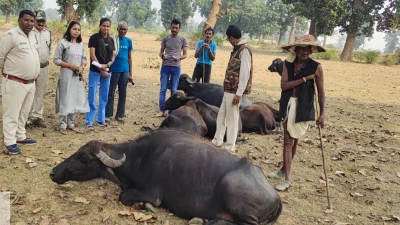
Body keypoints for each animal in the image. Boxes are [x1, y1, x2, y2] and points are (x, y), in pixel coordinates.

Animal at [49, 130, 282, 225]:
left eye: (84, 156)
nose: (53, 173)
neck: (140, 157)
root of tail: (275, 195)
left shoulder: (152, 194)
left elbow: (124, 197)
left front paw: (146, 207)